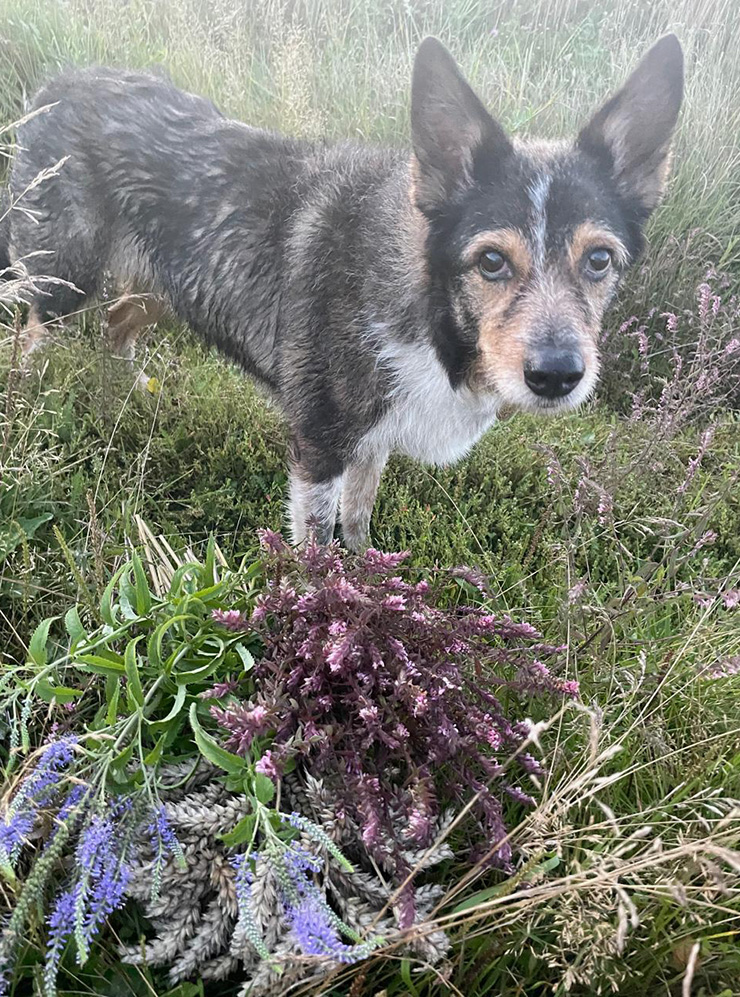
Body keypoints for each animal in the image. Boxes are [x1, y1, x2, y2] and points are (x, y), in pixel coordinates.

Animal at [0, 35, 684, 544]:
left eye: (599, 259)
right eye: (491, 261)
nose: (557, 375)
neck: (430, 307)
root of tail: (62, 84)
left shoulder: (371, 440)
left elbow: (357, 522)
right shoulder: (320, 449)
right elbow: (319, 548)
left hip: (170, 283)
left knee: (116, 323)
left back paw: (129, 395)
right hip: (64, 276)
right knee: (31, 335)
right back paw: (30, 407)